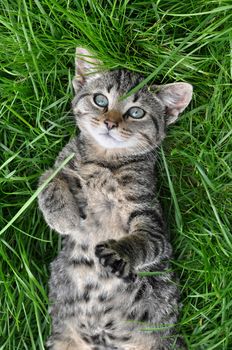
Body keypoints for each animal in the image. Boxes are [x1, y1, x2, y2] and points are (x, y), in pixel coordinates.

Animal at [38, 47, 192, 350]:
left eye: (136, 112)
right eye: (100, 100)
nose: (110, 122)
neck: (105, 160)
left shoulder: (150, 216)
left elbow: (147, 241)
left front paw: (120, 252)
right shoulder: (65, 164)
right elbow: (47, 178)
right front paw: (64, 217)